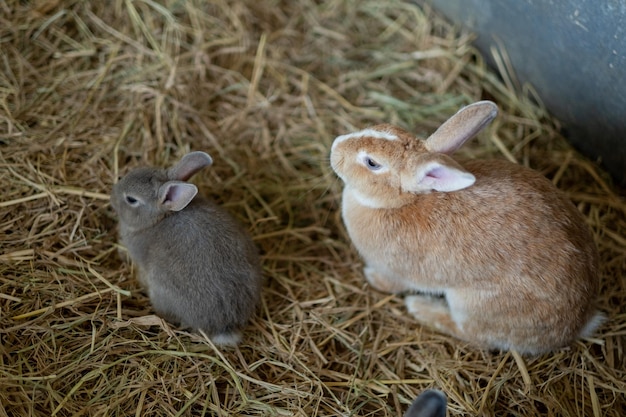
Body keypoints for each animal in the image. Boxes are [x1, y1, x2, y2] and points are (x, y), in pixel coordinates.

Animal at [330, 101, 604, 354]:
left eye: (371, 163)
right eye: (382, 127)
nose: (335, 147)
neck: (400, 202)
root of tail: (579, 324)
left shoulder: (396, 272)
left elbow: (390, 284)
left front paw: (371, 277)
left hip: (473, 305)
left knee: (472, 335)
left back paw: (420, 307)